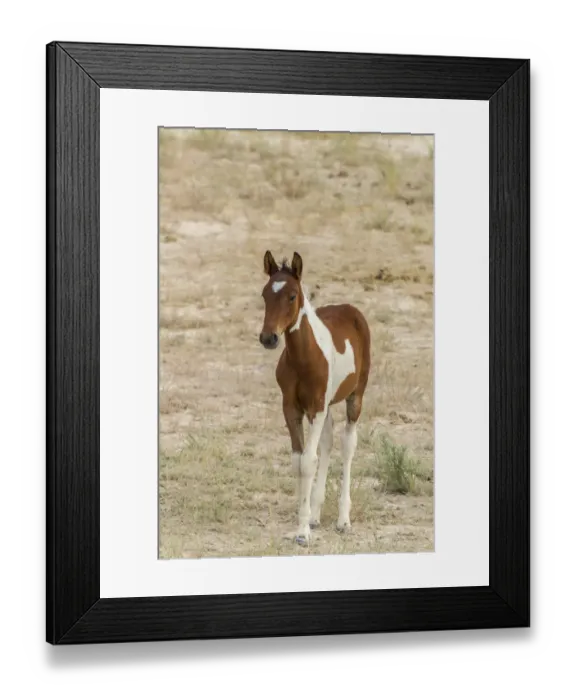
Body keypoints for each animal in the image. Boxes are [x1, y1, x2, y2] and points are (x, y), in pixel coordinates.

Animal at [259, 250, 371, 547]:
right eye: (264, 294)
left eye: (292, 296)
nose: (268, 338)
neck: (303, 358)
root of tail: (350, 308)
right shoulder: (291, 408)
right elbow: (298, 461)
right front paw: (305, 520)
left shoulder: (317, 407)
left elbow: (308, 461)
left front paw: (302, 533)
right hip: (327, 405)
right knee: (328, 442)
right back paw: (316, 514)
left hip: (355, 396)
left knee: (347, 444)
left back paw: (343, 520)